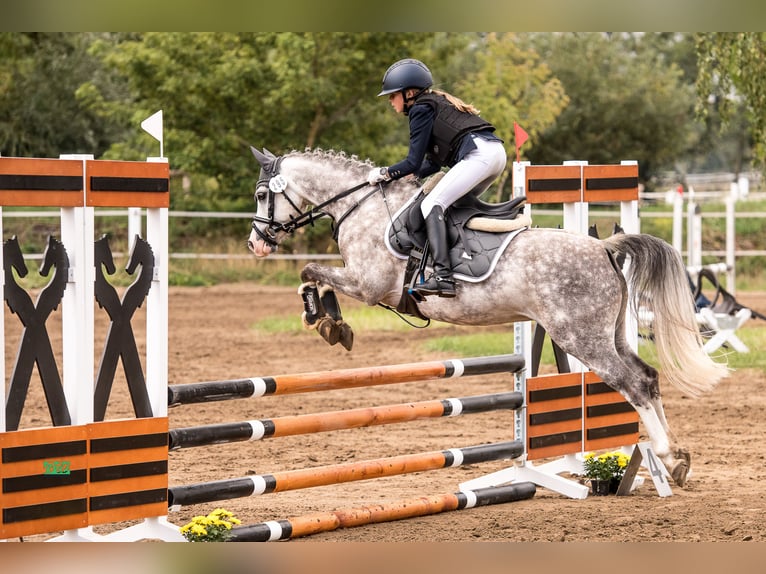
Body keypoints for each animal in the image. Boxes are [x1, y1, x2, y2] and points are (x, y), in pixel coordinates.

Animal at [246, 147, 730, 487]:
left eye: (262, 194)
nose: (257, 244)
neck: (362, 206)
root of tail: (604, 248)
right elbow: (315, 275)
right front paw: (332, 323)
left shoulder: (368, 284)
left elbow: (311, 273)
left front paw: (325, 319)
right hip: (609, 334)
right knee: (647, 376)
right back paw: (676, 460)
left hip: (580, 337)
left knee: (631, 383)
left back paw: (667, 458)